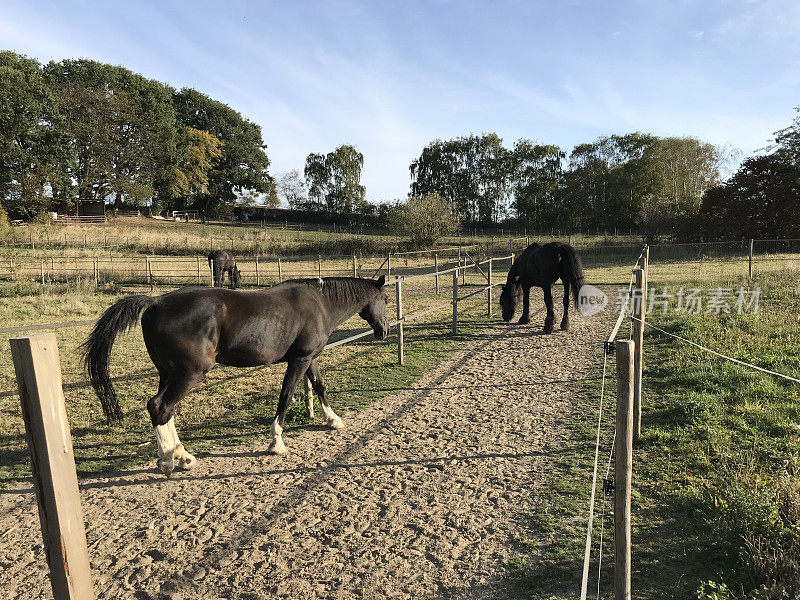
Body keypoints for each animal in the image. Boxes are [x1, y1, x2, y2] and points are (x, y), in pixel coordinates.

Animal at [82, 276, 390, 478]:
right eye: (385, 299)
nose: (384, 330)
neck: (320, 302)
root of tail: (156, 302)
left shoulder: (309, 358)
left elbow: (320, 386)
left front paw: (333, 420)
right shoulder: (299, 360)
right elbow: (286, 395)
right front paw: (276, 443)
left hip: (167, 373)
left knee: (162, 409)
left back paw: (182, 456)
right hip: (189, 374)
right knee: (161, 407)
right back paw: (169, 461)